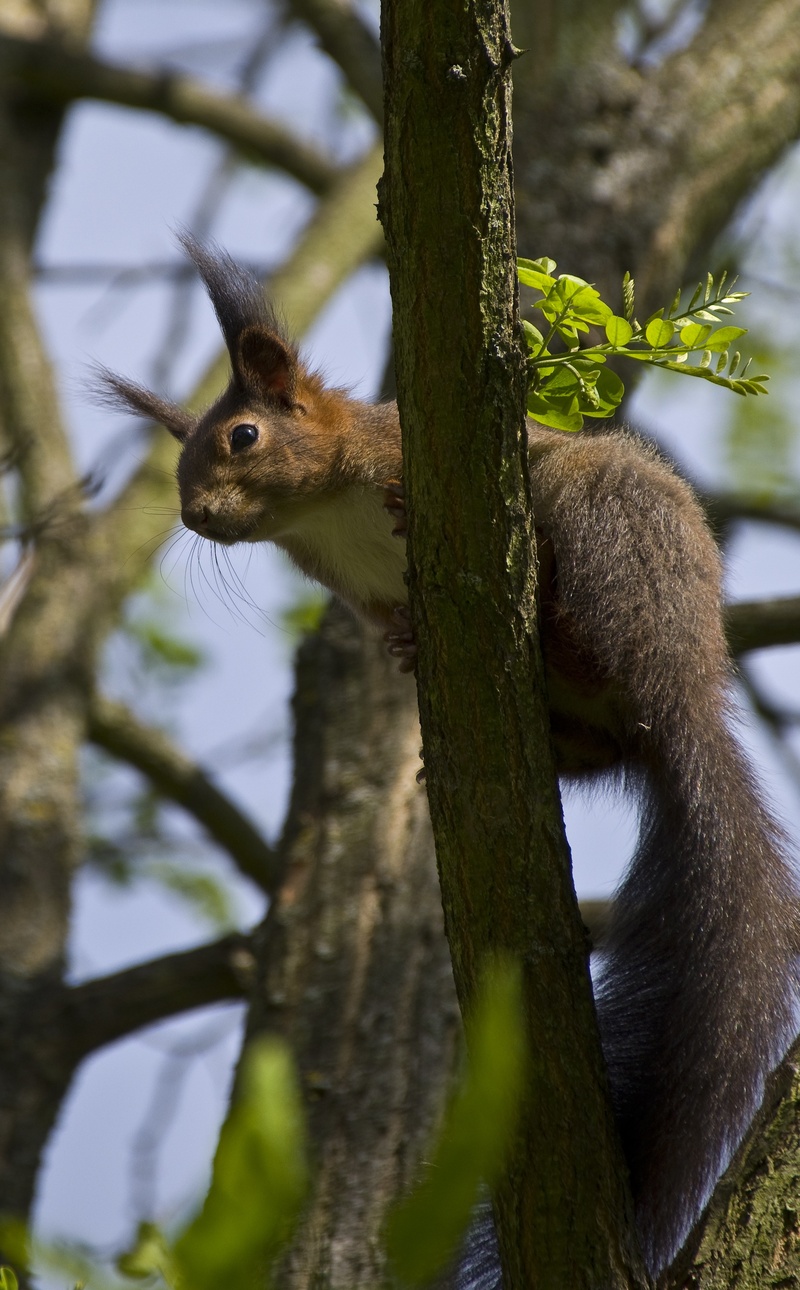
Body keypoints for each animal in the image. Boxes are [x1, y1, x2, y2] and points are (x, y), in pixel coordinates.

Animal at [101, 236, 800, 1276]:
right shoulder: (355, 590)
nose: (194, 516)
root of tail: (688, 693)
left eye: (242, 440)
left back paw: (559, 612)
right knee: (593, 741)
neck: (325, 510)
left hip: (608, 522)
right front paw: (402, 649)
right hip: (598, 708)